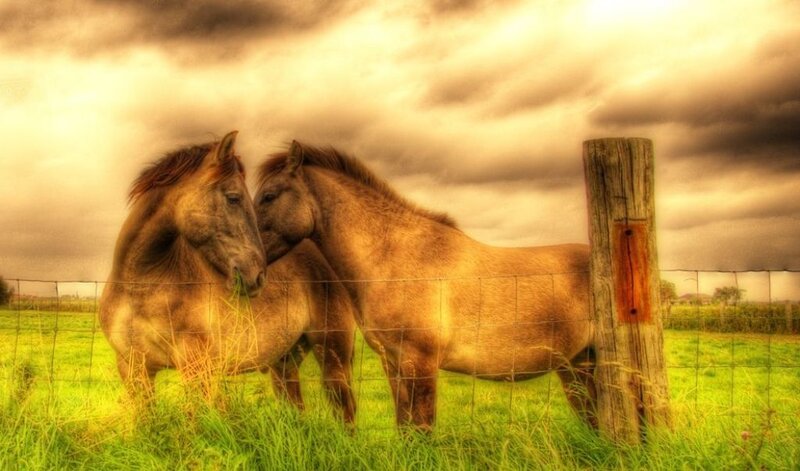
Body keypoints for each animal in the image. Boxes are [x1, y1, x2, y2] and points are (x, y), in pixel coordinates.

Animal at [99, 132, 356, 424]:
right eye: (233, 198)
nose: (256, 275)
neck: (140, 287)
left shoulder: (195, 368)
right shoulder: (133, 370)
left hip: (333, 355)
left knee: (344, 410)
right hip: (285, 362)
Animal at [253, 141, 597, 431]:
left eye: (269, 196)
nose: (249, 266)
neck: (396, 258)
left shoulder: (420, 363)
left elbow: (421, 427)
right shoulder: (393, 363)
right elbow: (405, 426)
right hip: (577, 365)